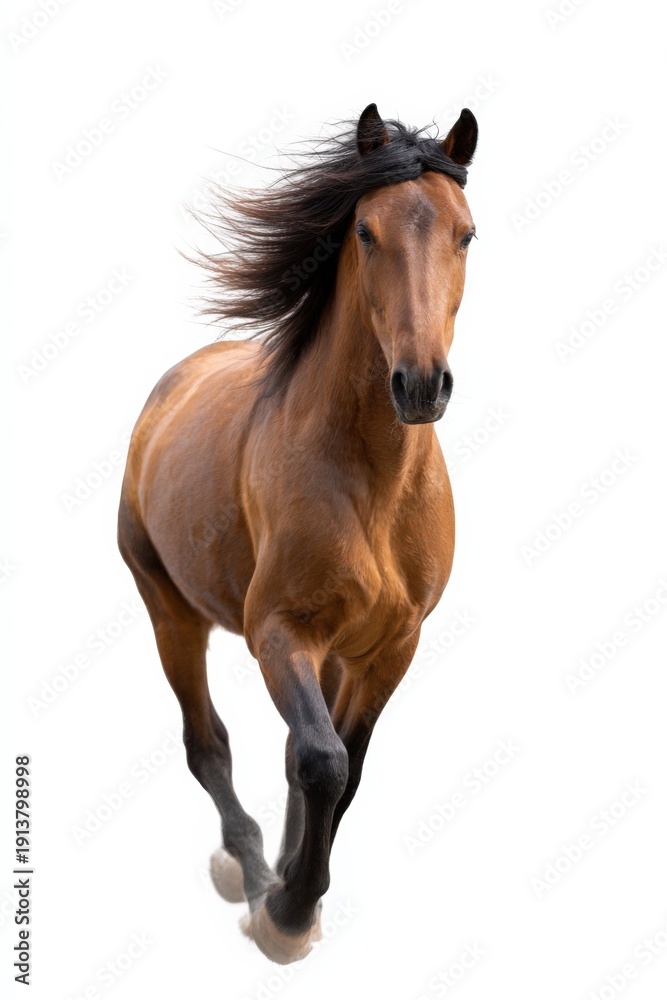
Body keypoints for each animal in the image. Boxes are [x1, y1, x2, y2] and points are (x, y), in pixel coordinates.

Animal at [118, 102, 478, 964]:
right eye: (366, 232)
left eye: (466, 233)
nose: (421, 385)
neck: (369, 481)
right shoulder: (279, 632)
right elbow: (320, 760)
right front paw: (283, 913)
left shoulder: (389, 647)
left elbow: (345, 767)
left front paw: (297, 896)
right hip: (168, 610)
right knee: (207, 743)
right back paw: (244, 871)